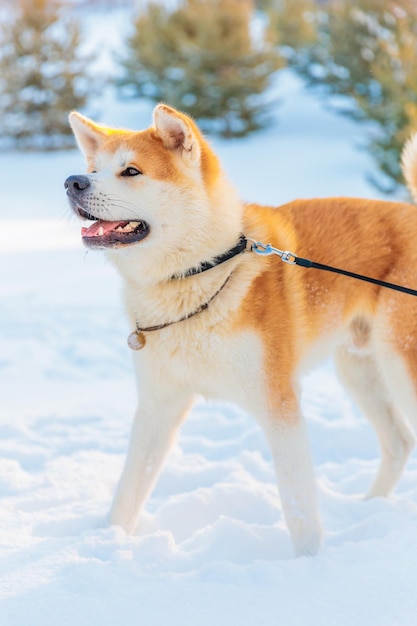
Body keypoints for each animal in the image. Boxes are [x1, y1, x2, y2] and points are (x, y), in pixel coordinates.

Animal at [66, 105, 417, 552]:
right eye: (93, 169)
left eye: (131, 171)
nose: (72, 181)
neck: (202, 272)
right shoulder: (158, 406)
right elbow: (129, 491)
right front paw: (108, 540)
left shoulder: (279, 404)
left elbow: (299, 506)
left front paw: (311, 563)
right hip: (359, 369)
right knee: (399, 442)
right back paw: (368, 508)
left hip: (399, 365)